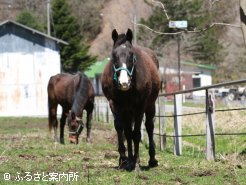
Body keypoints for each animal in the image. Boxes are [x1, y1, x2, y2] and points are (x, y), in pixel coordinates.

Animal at [101, 28, 160, 170]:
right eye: (114, 55)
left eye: (131, 55)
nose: (124, 83)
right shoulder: (116, 105)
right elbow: (122, 130)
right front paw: (124, 159)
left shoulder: (140, 106)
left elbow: (137, 133)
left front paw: (136, 161)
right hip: (128, 111)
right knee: (128, 132)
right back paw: (129, 159)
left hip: (150, 105)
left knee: (149, 126)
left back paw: (151, 159)